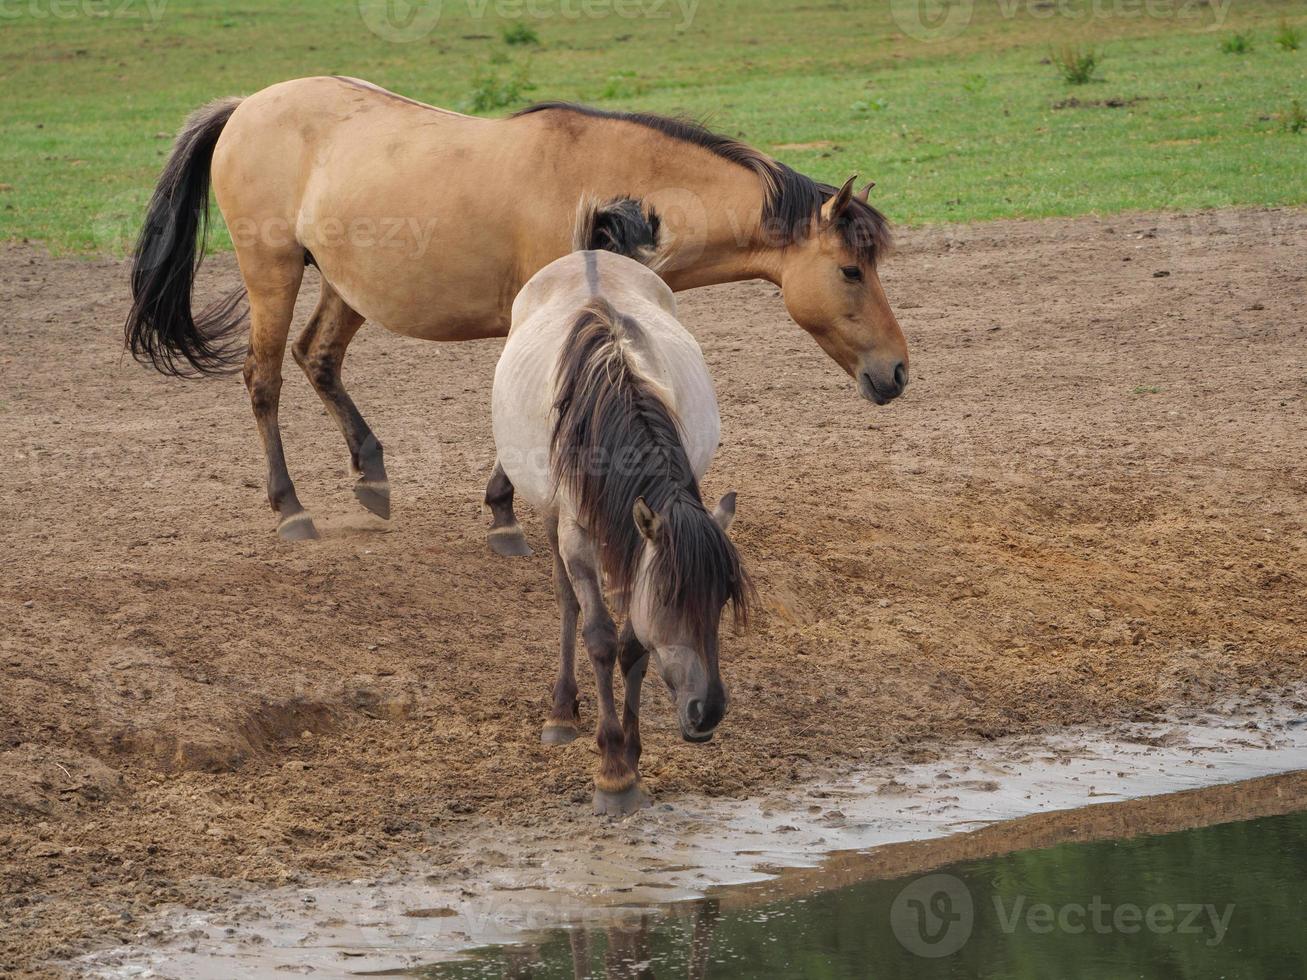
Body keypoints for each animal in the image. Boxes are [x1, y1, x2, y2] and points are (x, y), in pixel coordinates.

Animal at [130, 76, 909, 546]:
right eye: (850, 270)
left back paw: (371, 476)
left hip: (345, 286)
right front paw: (504, 512)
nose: (897, 371)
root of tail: (246, 105)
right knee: (263, 380)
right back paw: (291, 509)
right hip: (274, 273)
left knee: (316, 358)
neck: (611, 183)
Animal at [494, 199, 752, 815]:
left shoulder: (639, 544)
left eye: (721, 599)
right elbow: (601, 638)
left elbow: (634, 644)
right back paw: (561, 712)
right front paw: (611, 769)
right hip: (550, 519)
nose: (707, 712)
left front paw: (631, 757)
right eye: (671, 598)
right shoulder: (580, 538)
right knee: (566, 602)